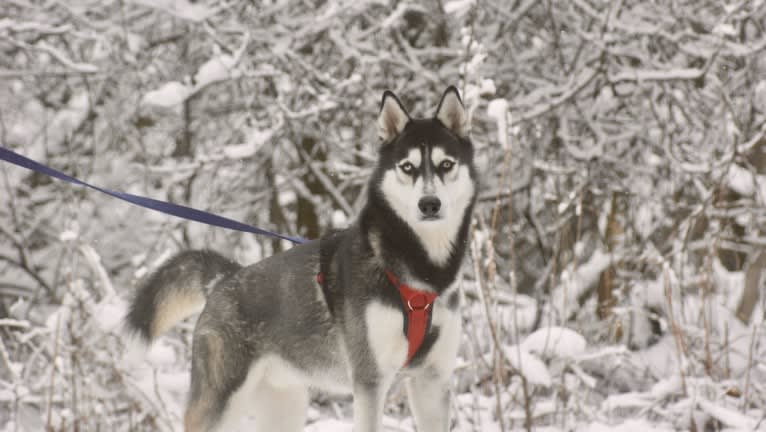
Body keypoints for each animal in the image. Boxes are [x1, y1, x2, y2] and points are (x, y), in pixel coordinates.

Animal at [126, 86, 480, 430]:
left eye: (446, 164)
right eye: (408, 167)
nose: (429, 204)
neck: (423, 268)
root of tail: (224, 279)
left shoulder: (433, 379)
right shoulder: (370, 379)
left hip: (286, 405)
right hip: (221, 403)